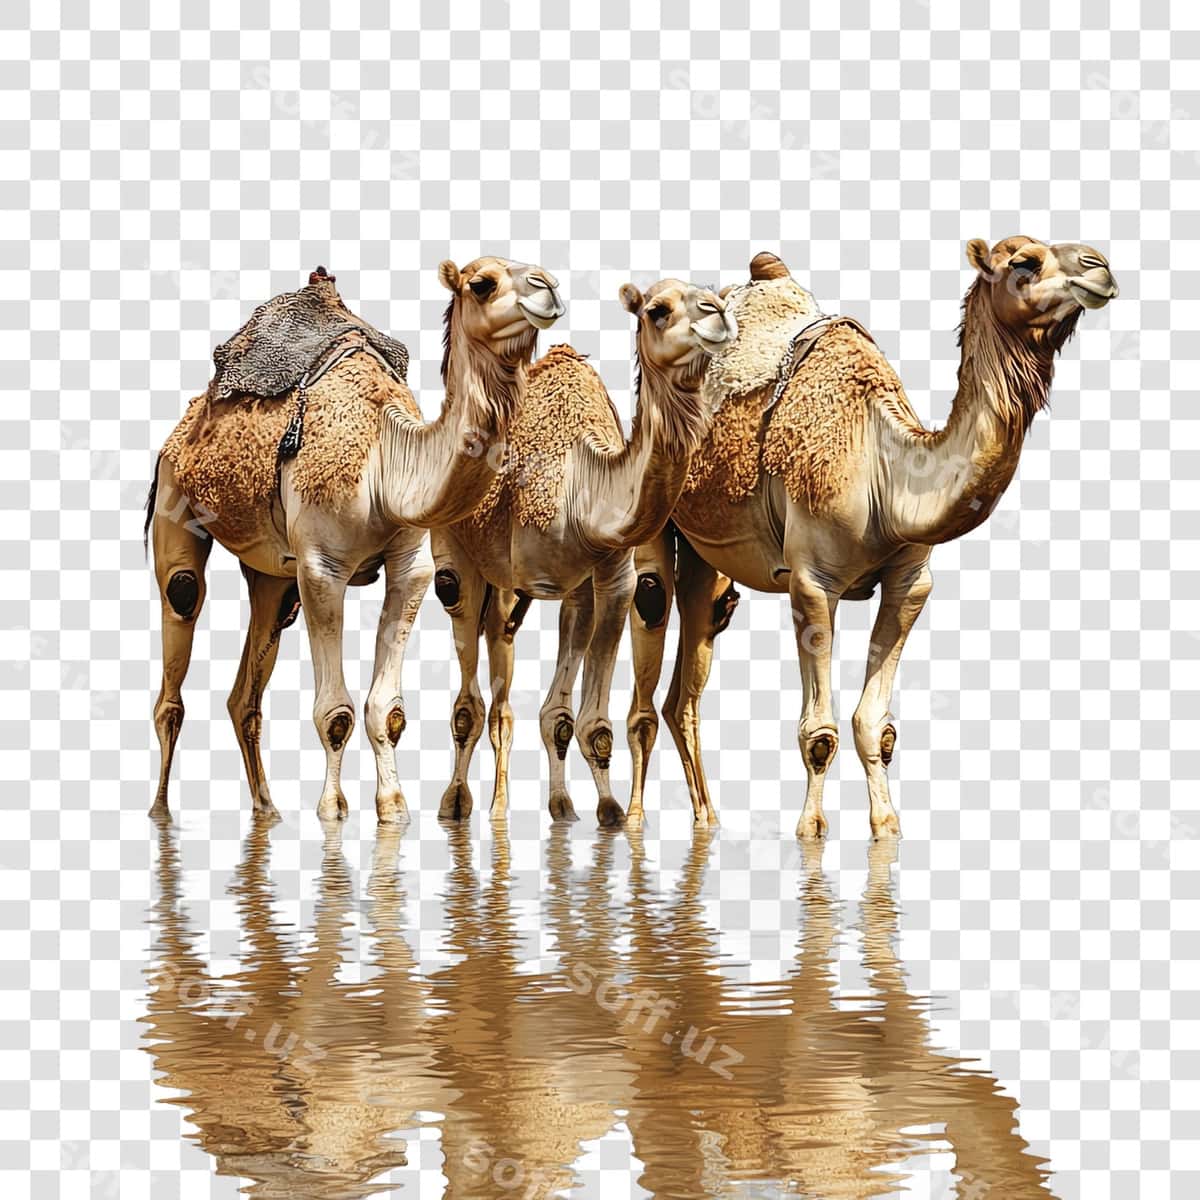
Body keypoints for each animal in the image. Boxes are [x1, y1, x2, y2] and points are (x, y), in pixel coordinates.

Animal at [145, 258, 563, 823]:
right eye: (482, 283)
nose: (549, 287)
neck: (385, 458)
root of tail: (186, 424)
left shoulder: (410, 566)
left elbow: (387, 711)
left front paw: (393, 807)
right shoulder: (323, 567)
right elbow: (336, 712)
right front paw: (332, 809)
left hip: (274, 574)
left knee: (247, 689)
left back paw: (266, 807)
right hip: (175, 494)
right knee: (181, 605)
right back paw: (160, 812)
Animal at [431, 278, 736, 826]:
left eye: (712, 296)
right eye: (657, 310)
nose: (717, 314)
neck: (582, 487)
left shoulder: (609, 580)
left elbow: (575, 719)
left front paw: (599, 809)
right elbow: (484, 704)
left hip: (526, 591)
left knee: (508, 674)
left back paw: (534, 803)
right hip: (460, 561)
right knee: (473, 691)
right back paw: (463, 802)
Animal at [627, 237, 1118, 837]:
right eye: (1023, 262)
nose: (1099, 266)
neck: (886, 468)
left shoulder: (909, 583)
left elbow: (874, 725)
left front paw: (886, 826)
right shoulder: (812, 582)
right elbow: (820, 733)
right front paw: (810, 830)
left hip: (708, 557)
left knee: (689, 681)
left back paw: (706, 820)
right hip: (655, 513)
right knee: (650, 620)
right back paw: (632, 821)